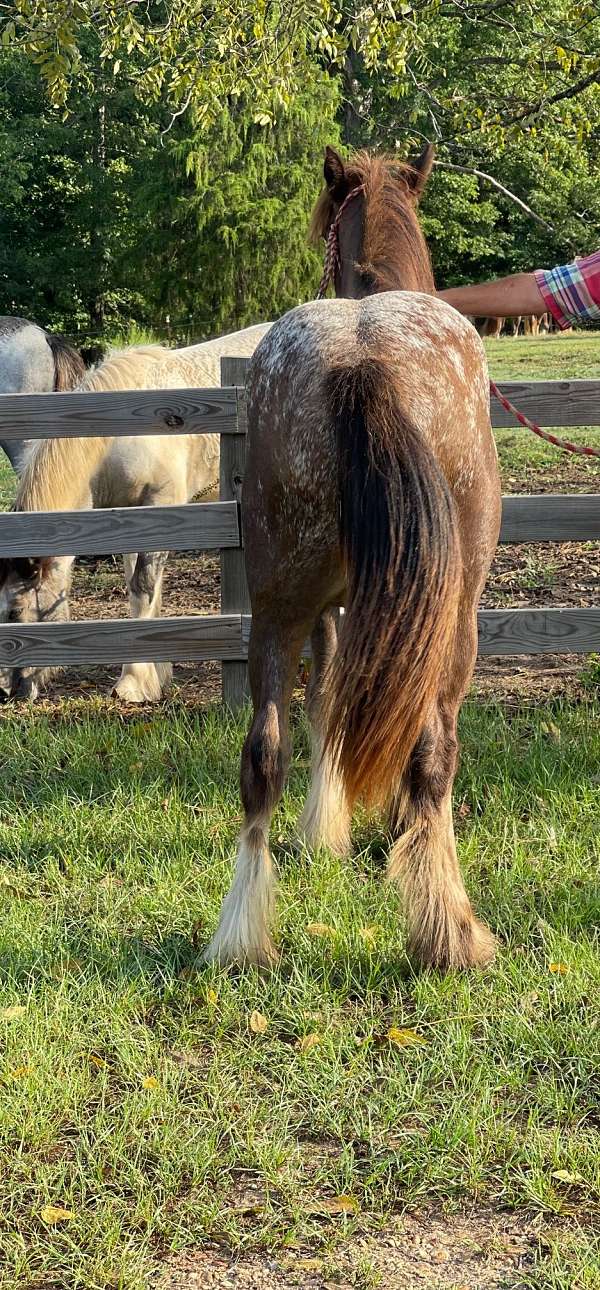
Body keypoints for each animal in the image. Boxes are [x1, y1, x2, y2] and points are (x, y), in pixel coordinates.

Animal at [205, 146, 500, 970]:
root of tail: (360, 362)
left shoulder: (334, 609)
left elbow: (325, 706)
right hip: (453, 622)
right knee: (434, 751)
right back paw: (447, 932)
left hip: (277, 602)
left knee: (262, 755)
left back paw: (241, 936)